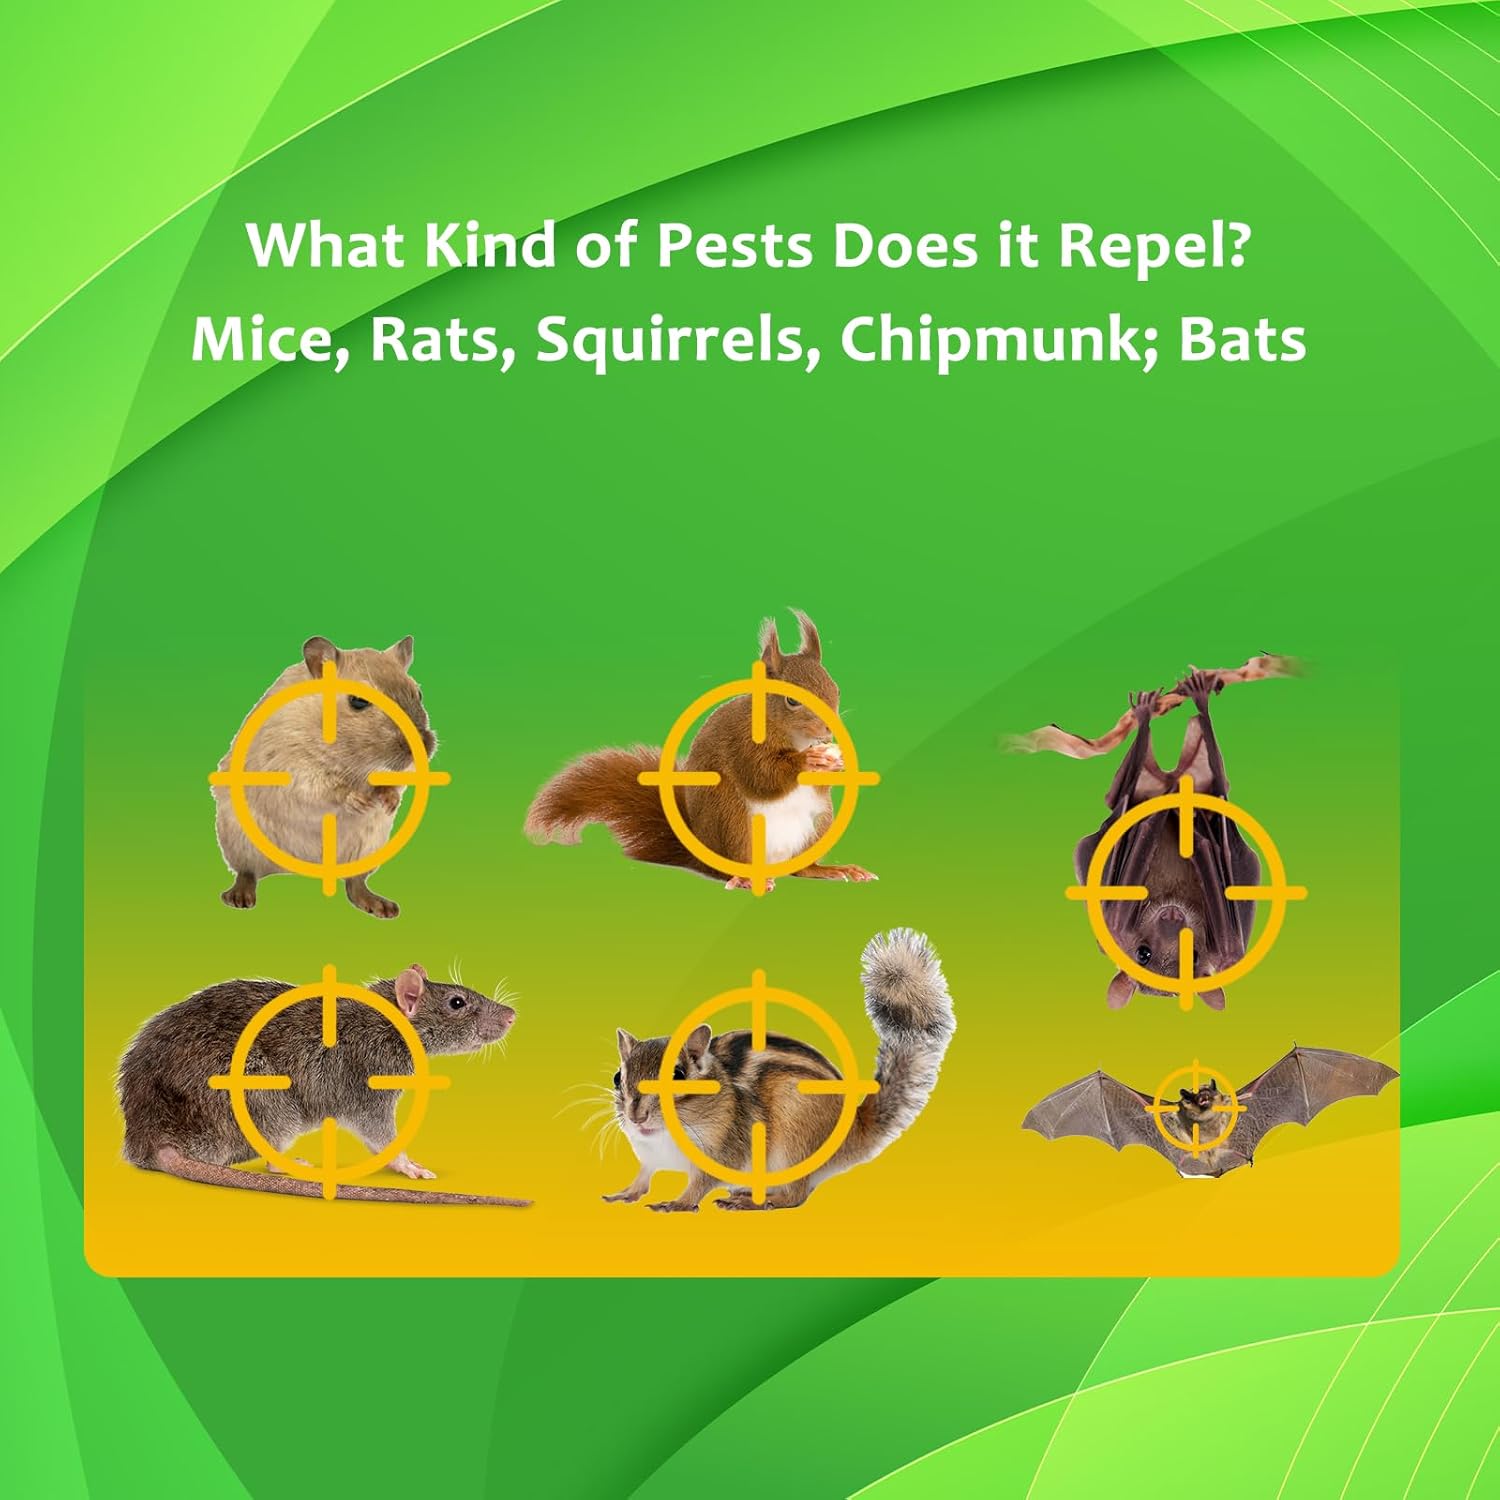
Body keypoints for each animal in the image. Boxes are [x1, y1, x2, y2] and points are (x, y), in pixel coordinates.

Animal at [213, 636, 437, 918]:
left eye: (418, 694)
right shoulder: (292, 768)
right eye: (358, 701)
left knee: (355, 883)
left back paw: (381, 906)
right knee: (247, 871)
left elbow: (397, 783)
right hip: (238, 841)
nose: (425, 747)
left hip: (367, 847)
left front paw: (388, 802)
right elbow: (325, 789)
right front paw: (359, 801)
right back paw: (239, 897)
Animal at [524, 610, 874, 890]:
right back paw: (744, 879)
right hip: (732, 820)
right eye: (791, 700)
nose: (830, 731)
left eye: (835, 689)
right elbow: (763, 775)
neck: (791, 735)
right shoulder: (743, 743)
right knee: (728, 867)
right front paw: (808, 760)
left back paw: (830, 870)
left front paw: (834, 764)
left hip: (820, 823)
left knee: (801, 869)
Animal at [604, 928, 955, 1211]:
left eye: (677, 1075)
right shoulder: (649, 1156)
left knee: (797, 1195)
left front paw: (678, 1203)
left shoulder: (723, 1153)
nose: (636, 1116)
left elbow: (700, 1184)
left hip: (793, 1143)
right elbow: (644, 1175)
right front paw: (626, 1192)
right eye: (618, 1077)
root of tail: (854, 1129)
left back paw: (758, 1203)